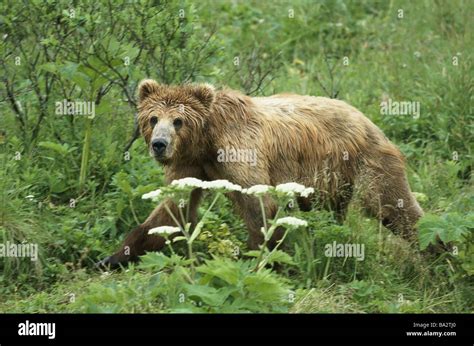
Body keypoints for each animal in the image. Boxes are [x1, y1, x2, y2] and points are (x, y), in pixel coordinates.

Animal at [98, 80, 424, 268]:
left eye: (178, 120)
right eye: (153, 118)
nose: (159, 144)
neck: (205, 142)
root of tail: (367, 117)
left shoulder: (239, 151)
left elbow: (260, 205)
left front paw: (261, 259)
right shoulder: (191, 166)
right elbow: (172, 210)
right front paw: (112, 257)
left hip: (365, 161)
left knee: (394, 205)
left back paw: (433, 251)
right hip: (331, 182)